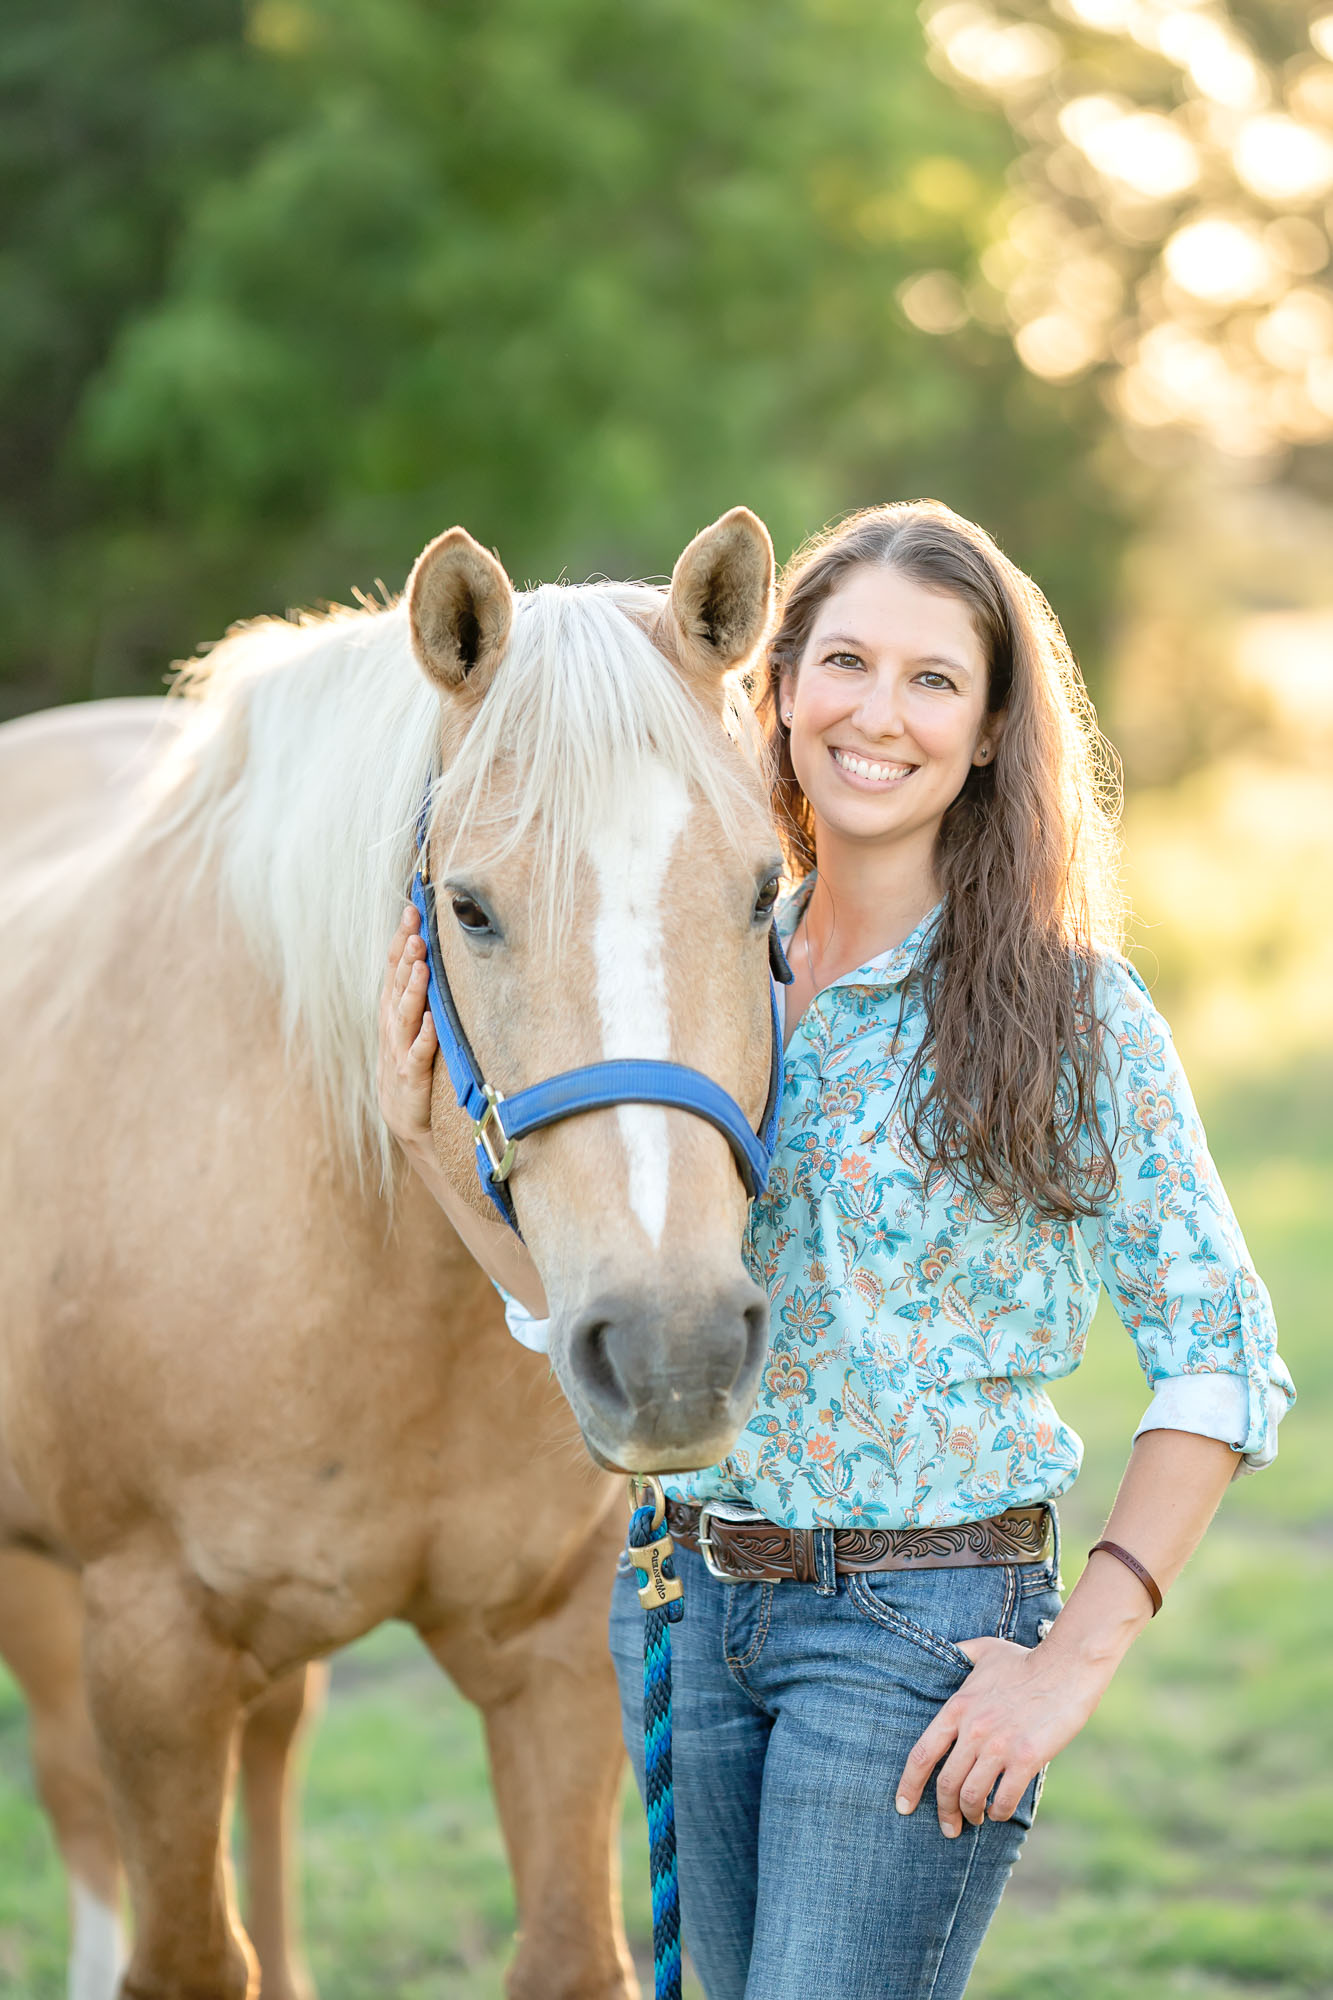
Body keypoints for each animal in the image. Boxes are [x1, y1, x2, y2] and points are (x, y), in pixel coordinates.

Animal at [0, 508, 782, 2000]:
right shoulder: (150, 1649)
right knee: (75, 1802)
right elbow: (185, 1953)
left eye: (768, 891)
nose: (673, 1349)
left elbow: (566, 1953)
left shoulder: (557, 1651)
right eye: (468, 908)